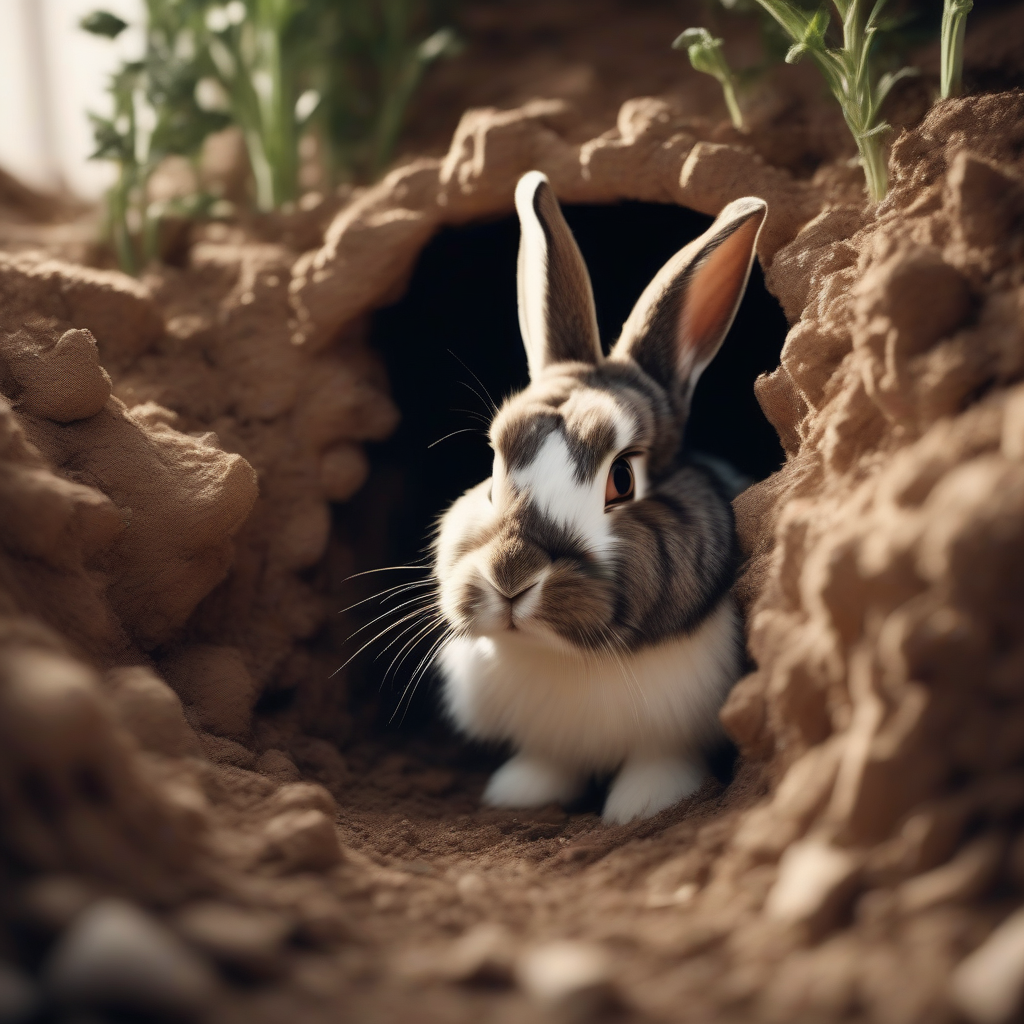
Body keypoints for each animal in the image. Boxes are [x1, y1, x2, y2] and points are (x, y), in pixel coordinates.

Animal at [432, 170, 766, 824]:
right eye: (493, 471)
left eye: (622, 480)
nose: (511, 575)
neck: (563, 656)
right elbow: (547, 762)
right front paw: (519, 793)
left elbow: (658, 762)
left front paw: (643, 807)